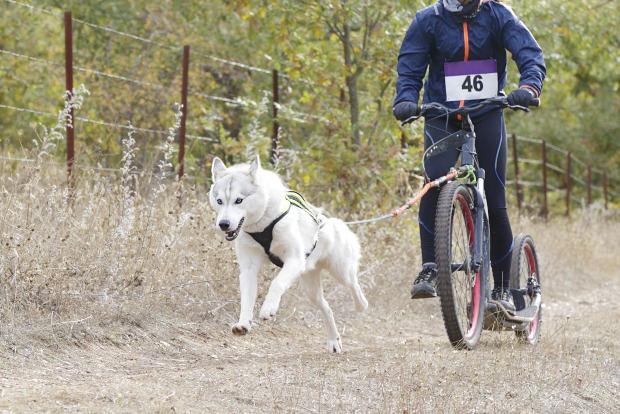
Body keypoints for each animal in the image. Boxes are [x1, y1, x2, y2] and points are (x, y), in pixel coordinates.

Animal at [211, 155, 366, 352]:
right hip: (311, 291)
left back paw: (361, 305)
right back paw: (333, 341)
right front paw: (243, 324)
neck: (263, 224)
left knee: (354, 284)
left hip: (340, 272)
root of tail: (332, 222)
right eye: (219, 201)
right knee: (327, 308)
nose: (223, 224)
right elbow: (246, 299)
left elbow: (276, 284)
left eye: (239, 200)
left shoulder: (294, 259)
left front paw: (268, 309)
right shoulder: (248, 270)